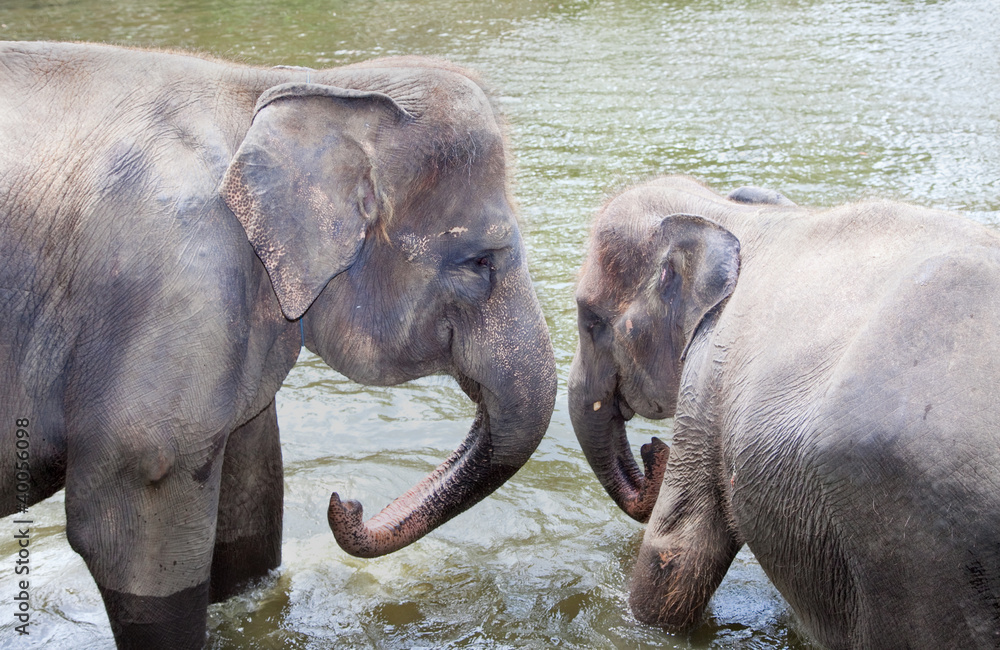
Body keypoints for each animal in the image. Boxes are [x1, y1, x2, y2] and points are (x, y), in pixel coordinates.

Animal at [0, 41, 556, 649]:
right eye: (479, 262)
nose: (346, 501)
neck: (287, 85)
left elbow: (251, 490)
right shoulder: (176, 283)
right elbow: (134, 517)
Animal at [568, 175, 1000, 648]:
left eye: (590, 320)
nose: (652, 451)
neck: (738, 216)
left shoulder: (708, 377)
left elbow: (677, 547)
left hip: (915, 543)